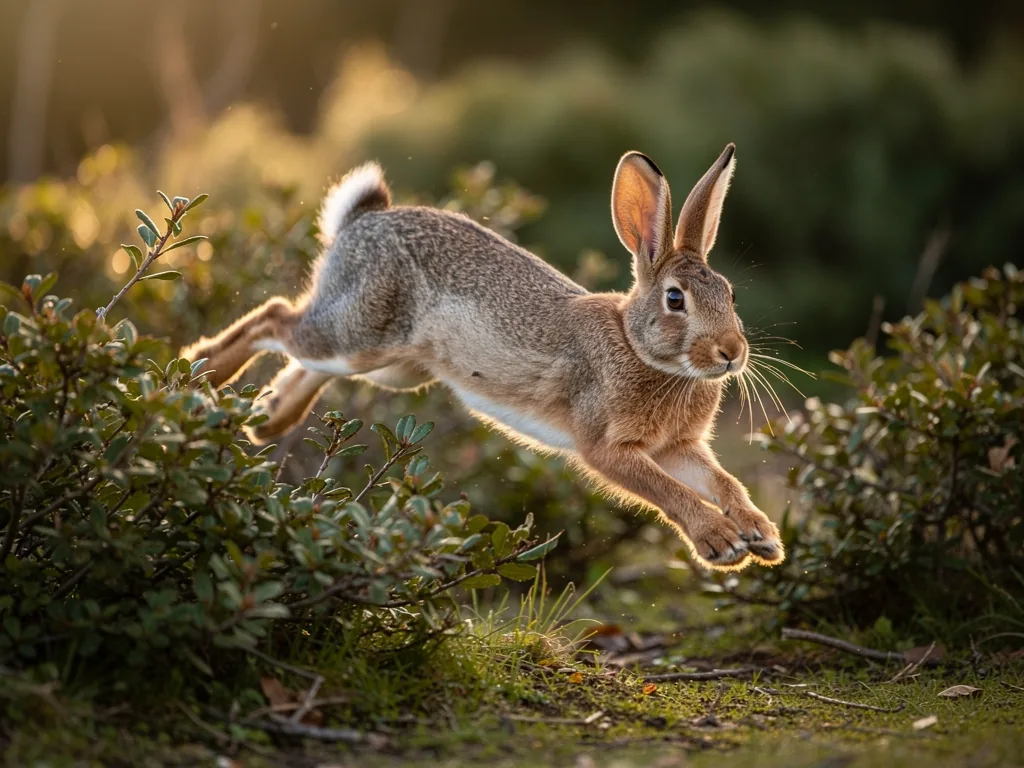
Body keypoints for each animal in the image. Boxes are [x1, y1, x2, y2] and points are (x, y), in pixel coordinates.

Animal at [181, 144, 784, 571]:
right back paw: (204, 374)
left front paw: (762, 535)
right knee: (277, 318)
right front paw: (722, 543)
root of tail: (360, 222)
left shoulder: (679, 447)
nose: (732, 353)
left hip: (392, 368)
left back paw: (267, 416)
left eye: (730, 294)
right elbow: (668, 492)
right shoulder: (606, 448)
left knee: (302, 354)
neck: (642, 348)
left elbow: (724, 482)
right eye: (676, 300)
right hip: (358, 336)